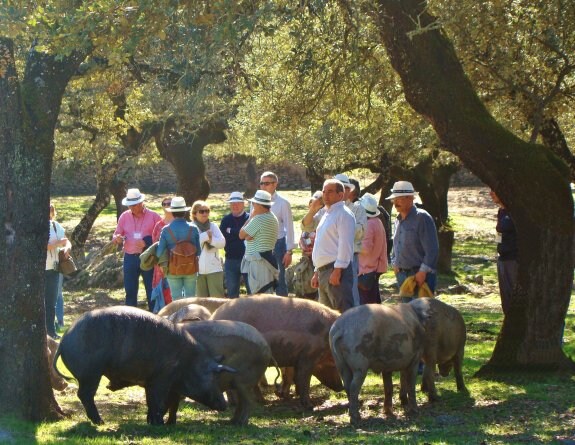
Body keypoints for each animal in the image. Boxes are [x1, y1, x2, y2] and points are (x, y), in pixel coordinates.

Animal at [53, 306, 234, 424]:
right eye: (213, 378)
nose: (224, 405)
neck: (189, 362)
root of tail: (64, 339)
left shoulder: (152, 381)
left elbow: (154, 401)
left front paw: (151, 421)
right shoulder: (162, 378)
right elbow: (159, 400)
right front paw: (158, 423)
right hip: (90, 372)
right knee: (84, 394)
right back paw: (100, 422)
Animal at [214, 294, 344, 408]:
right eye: (334, 365)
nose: (341, 387)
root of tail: (214, 316)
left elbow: (290, 376)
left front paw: (286, 397)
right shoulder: (308, 356)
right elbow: (303, 379)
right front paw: (309, 406)